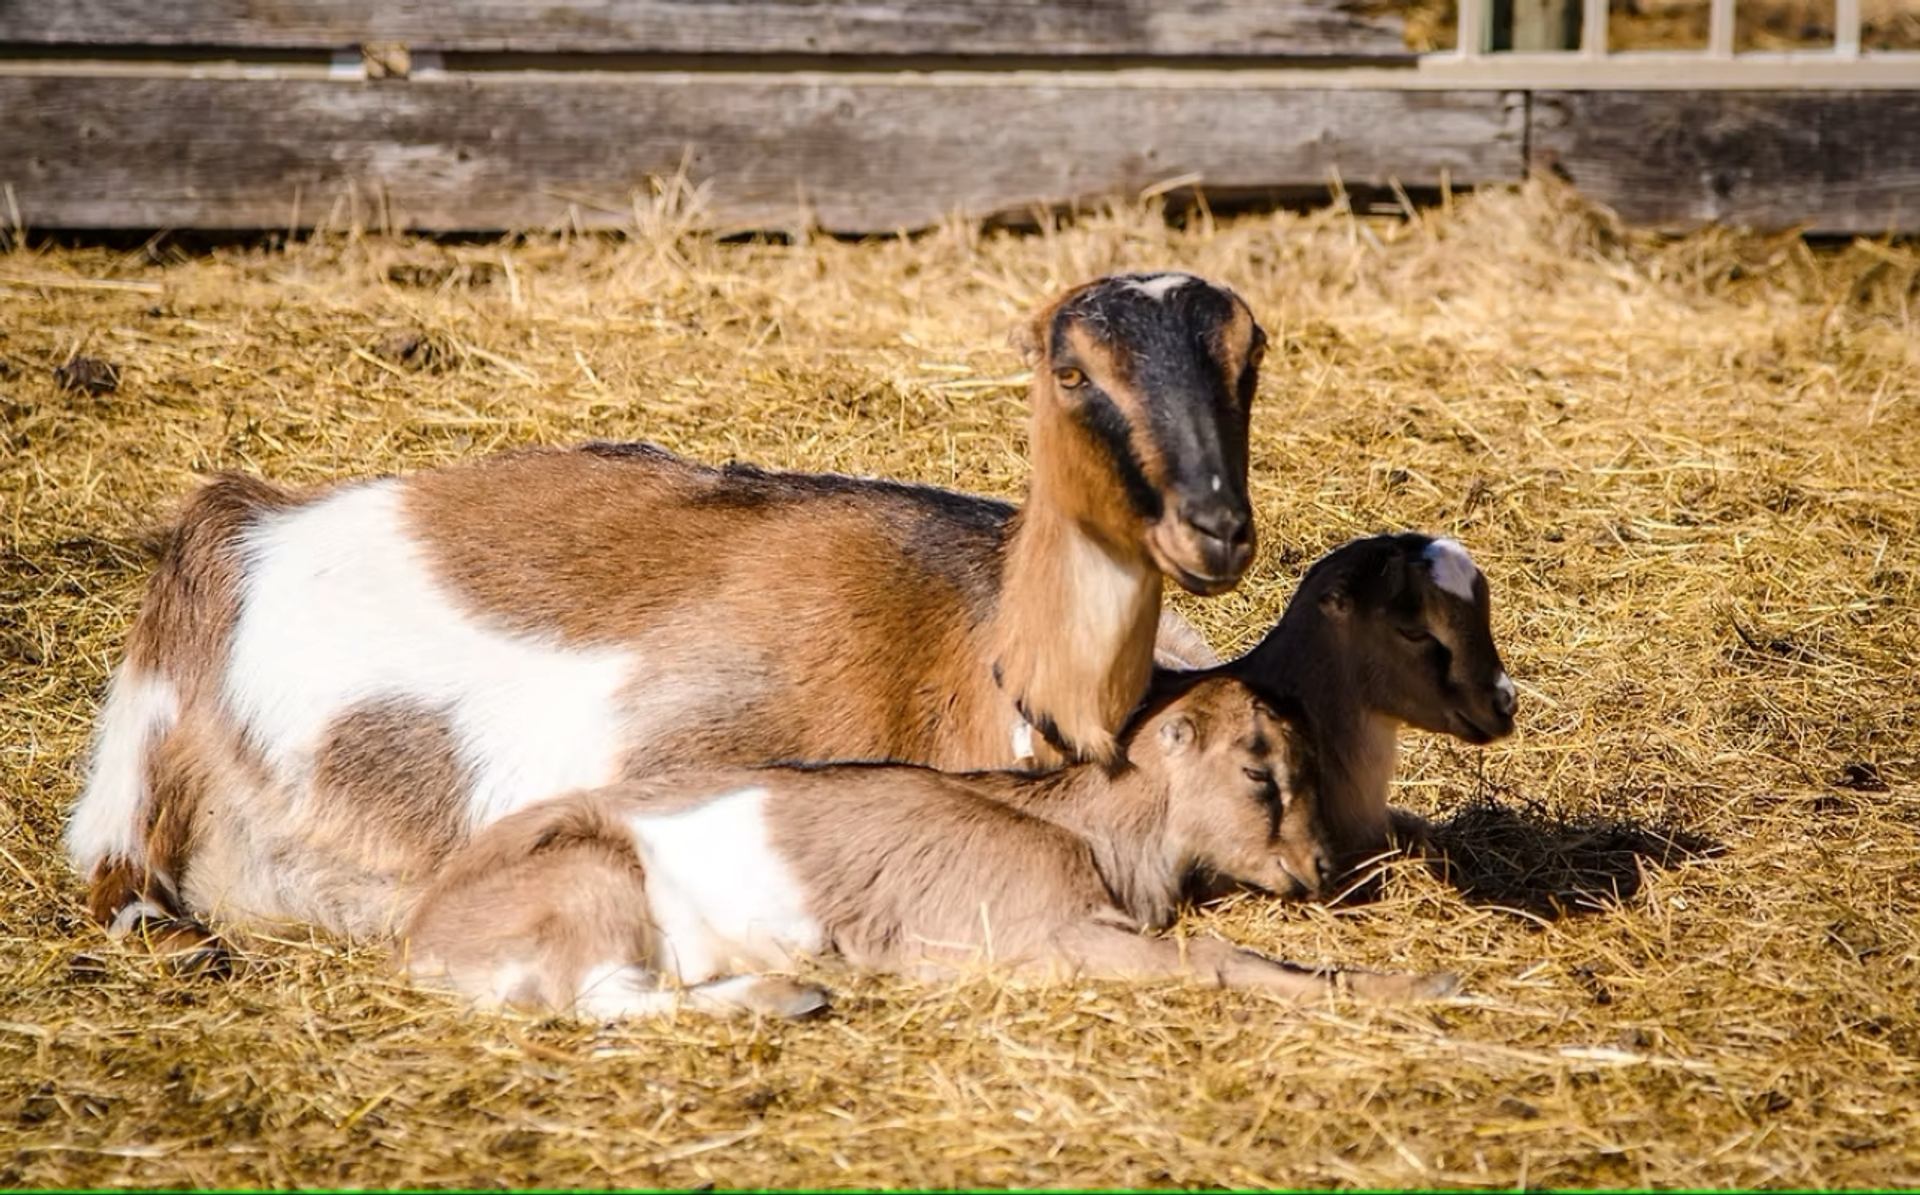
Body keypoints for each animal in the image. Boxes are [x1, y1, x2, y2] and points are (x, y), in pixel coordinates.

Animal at [402, 677, 1457, 1018]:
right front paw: (1431, 983)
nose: (1321, 869)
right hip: (595, 878)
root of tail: (426, 937)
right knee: (598, 999)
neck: (1077, 828)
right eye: (1259, 771)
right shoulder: (1049, 935)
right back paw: (793, 992)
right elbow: (1217, 955)